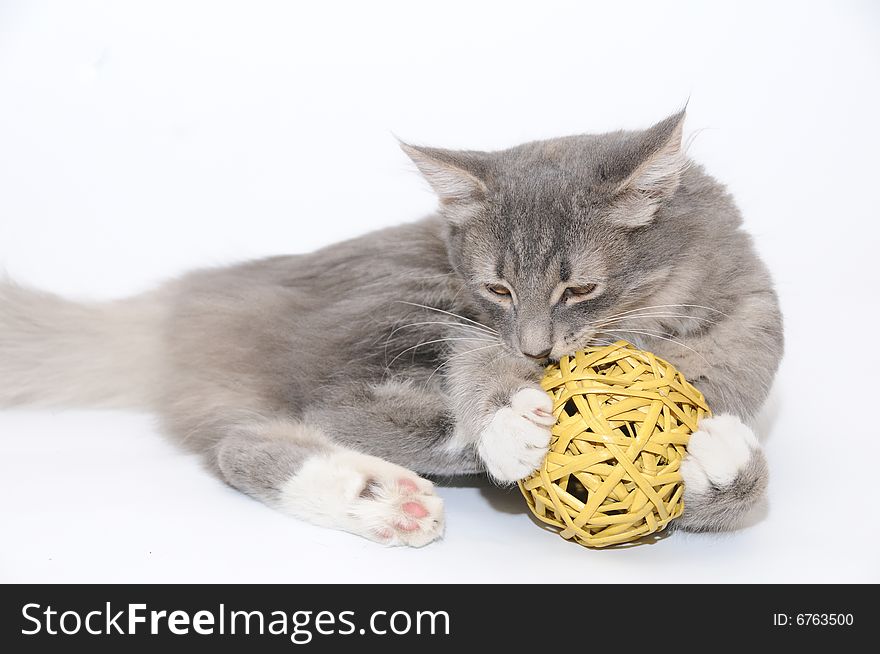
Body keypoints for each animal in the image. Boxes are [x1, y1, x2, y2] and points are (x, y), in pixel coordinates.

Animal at [0, 111, 784, 548]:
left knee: (249, 439)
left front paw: (718, 456)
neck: (663, 325)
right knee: (328, 413)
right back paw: (403, 488)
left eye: (580, 289)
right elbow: (477, 373)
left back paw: (376, 498)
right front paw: (510, 421)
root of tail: (187, 300)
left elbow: (743, 493)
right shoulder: (469, 323)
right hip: (400, 301)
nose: (534, 350)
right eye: (498, 288)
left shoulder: (754, 345)